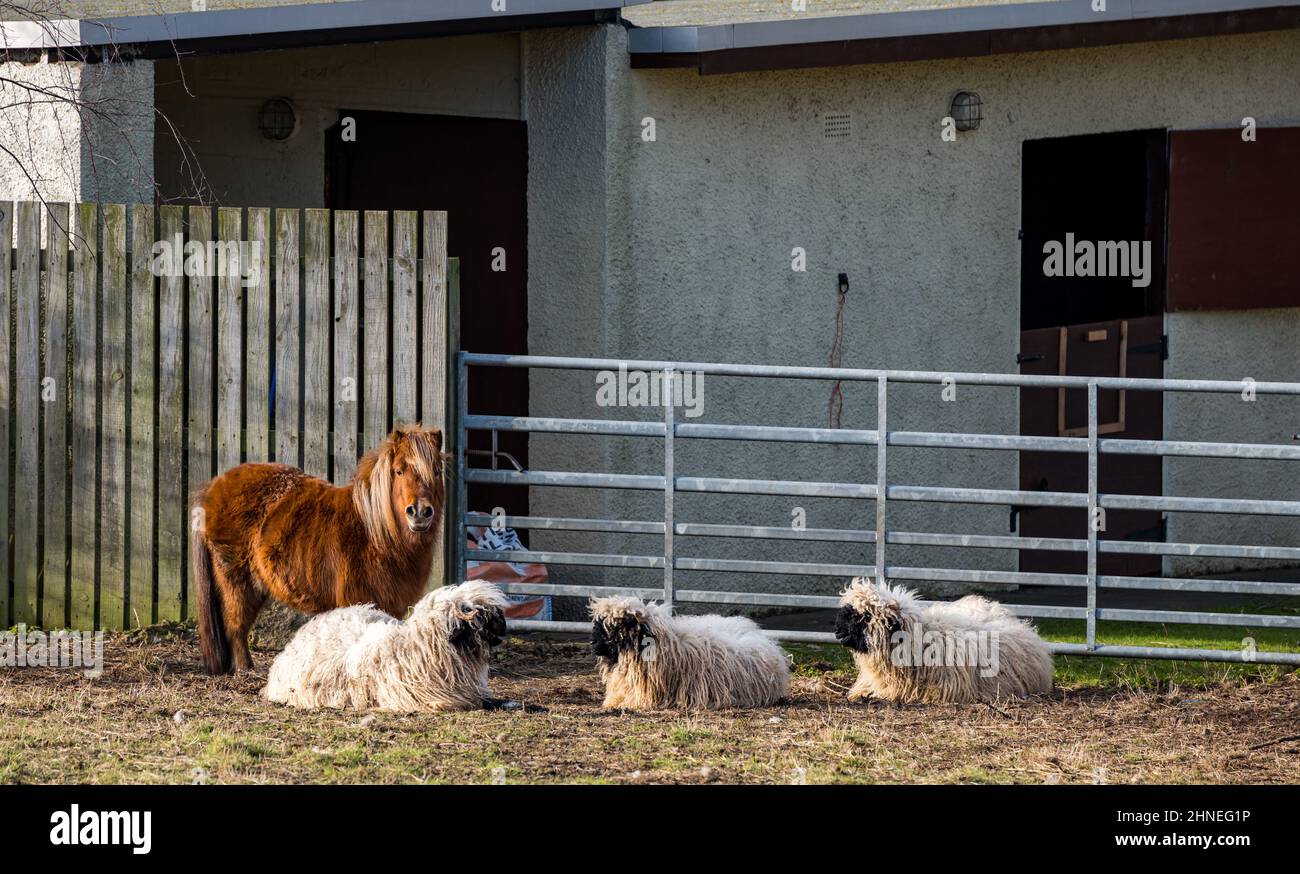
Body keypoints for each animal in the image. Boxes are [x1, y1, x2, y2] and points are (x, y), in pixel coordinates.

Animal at [189, 426, 447, 671]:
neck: (376, 534)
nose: (420, 512)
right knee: (235, 626)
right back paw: (244, 668)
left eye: (436, 471)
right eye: (399, 471)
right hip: (236, 583)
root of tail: (214, 486)